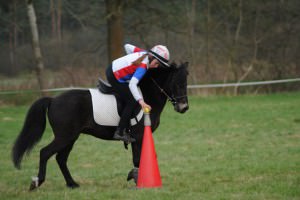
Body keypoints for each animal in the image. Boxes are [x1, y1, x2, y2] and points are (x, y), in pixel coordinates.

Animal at [12, 61, 190, 190]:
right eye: (177, 83)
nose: (184, 107)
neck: (145, 96)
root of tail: (53, 100)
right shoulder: (139, 136)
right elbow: (138, 159)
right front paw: (138, 179)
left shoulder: (137, 138)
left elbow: (137, 159)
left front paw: (134, 176)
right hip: (65, 136)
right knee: (45, 153)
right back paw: (37, 182)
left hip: (71, 137)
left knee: (61, 158)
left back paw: (72, 184)